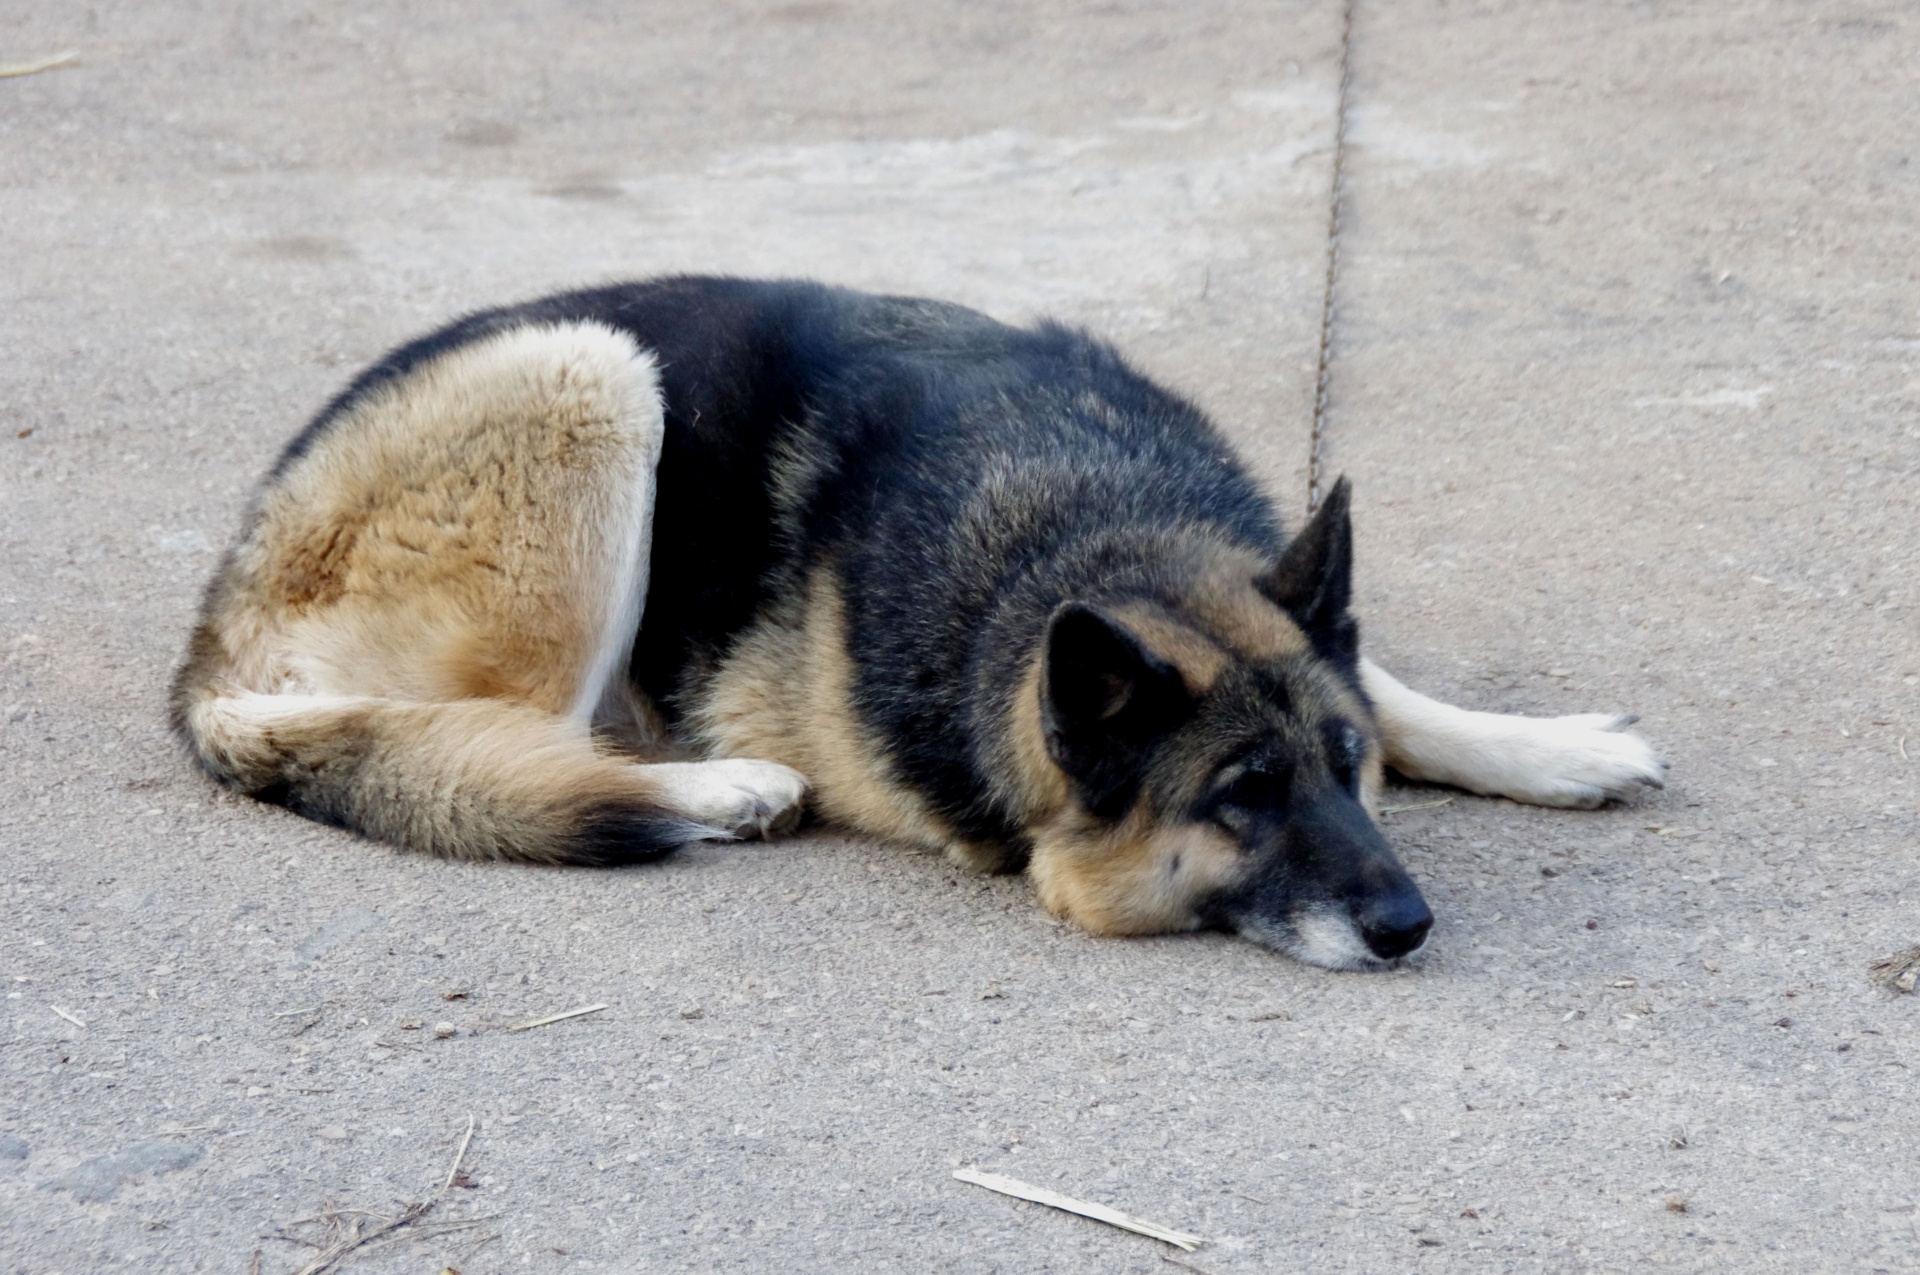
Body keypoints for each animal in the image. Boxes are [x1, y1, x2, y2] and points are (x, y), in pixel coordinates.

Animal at [168, 276, 1666, 967]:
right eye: (1241, 797)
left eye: (1345, 770)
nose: (1408, 923)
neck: (1088, 526)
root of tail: (214, 639)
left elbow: (1394, 684)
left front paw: (1554, 747)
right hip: (588, 374)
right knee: (510, 737)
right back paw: (719, 785)